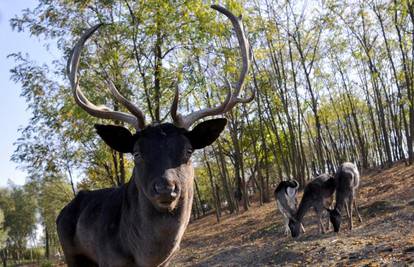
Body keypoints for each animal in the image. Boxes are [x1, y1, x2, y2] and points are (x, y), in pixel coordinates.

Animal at [55, 5, 252, 266]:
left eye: (189, 150)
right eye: (137, 153)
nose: (165, 187)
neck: (144, 257)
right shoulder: (108, 258)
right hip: (71, 253)